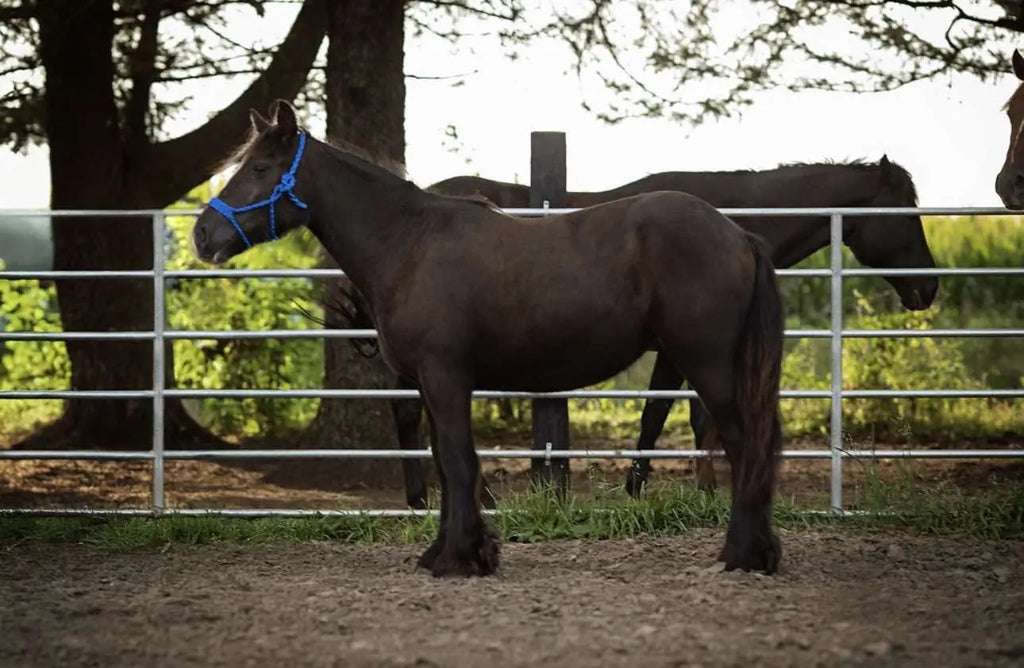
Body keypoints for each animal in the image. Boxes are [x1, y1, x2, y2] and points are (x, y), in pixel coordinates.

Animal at [191, 100, 786, 576]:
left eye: (260, 167)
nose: (201, 235)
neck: (408, 242)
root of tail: (737, 233)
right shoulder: (429, 384)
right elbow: (446, 461)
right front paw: (452, 551)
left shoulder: (445, 375)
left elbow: (459, 462)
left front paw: (459, 559)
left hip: (707, 364)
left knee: (745, 443)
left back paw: (743, 555)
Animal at [384, 158, 936, 500]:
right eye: (907, 214)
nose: (928, 288)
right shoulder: (678, 348)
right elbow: (666, 414)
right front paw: (649, 487)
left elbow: (686, 417)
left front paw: (691, 485)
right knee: (408, 410)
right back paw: (423, 496)